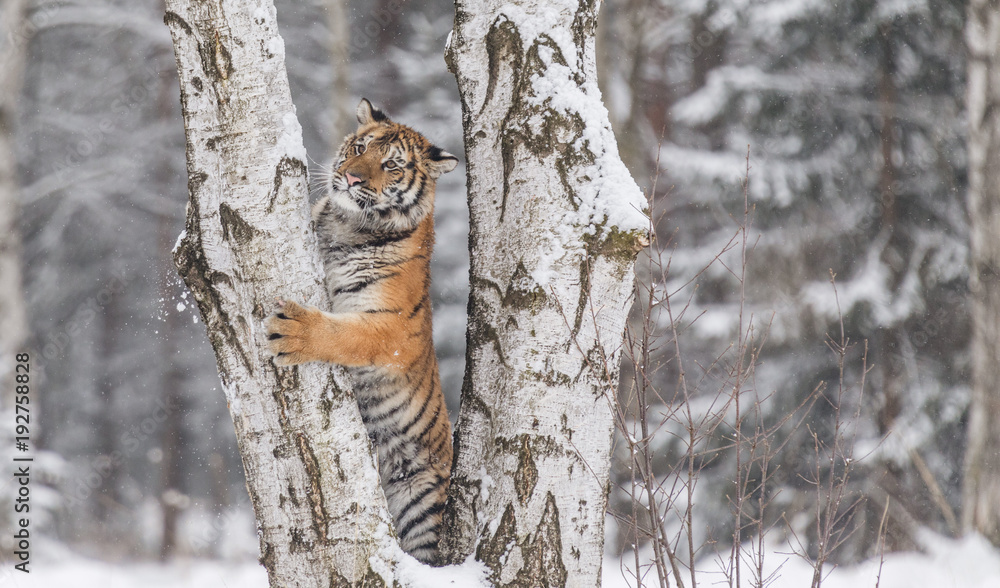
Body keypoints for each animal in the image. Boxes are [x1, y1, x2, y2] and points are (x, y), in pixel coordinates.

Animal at [264, 98, 458, 565]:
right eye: (359, 147)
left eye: (391, 165)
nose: (352, 177)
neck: (348, 226)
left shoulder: (391, 326)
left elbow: (346, 335)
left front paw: (294, 330)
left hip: (420, 505)